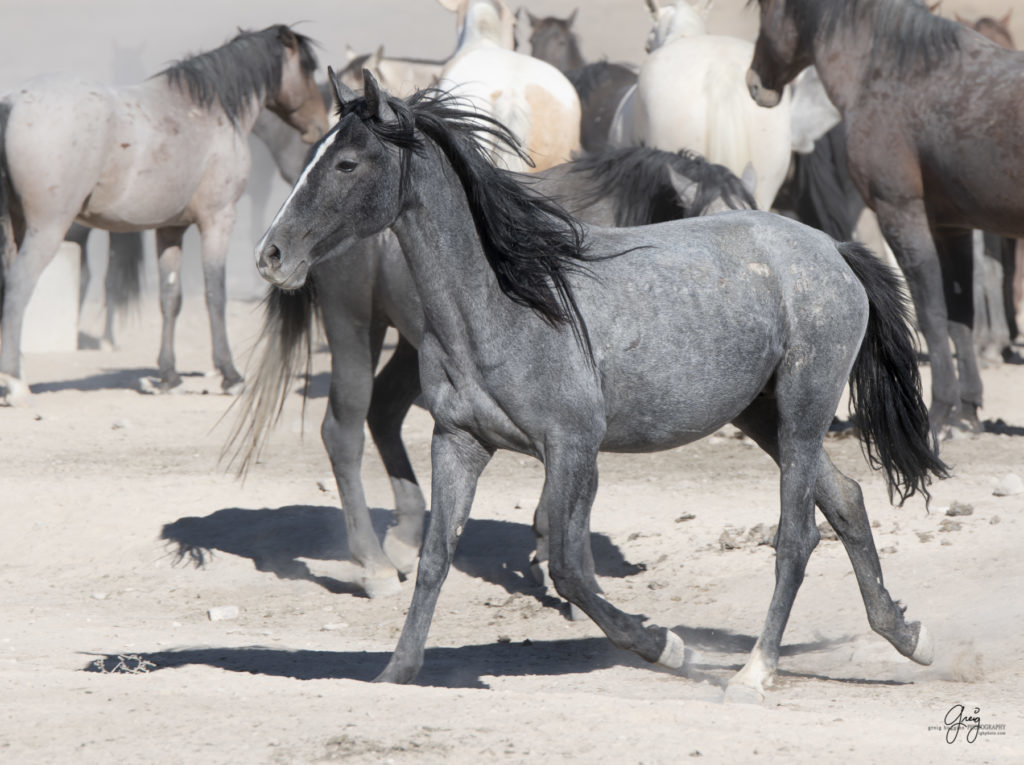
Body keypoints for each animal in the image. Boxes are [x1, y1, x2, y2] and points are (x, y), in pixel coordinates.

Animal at [249, 71, 950, 700]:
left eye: (346, 163)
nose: (271, 255)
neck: (506, 303)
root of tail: (833, 251)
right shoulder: (459, 443)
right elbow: (435, 558)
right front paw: (396, 672)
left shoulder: (572, 449)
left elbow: (570, 567)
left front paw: (669, 648)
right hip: (763, 417)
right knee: (848, 501)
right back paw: (909, 638)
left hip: (802, 412)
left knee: (798, 535)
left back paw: (754, 673)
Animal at [745, 0, 1024, 434]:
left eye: (764, 9)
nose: (755, 82)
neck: (898, 77)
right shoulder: (951, 228)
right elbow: (960, 314)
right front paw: (967, 412)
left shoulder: (901, 214)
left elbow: (930, 313)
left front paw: (939, 410)